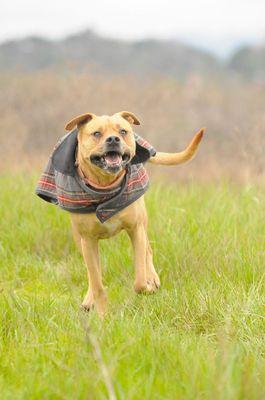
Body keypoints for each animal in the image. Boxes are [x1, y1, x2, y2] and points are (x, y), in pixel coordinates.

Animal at [36, 111, 203, 316]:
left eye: (123, 131)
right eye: (97, 133)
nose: (113, 139)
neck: (105, 188)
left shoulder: (136, 229)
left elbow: (139, 279)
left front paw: (148, 286)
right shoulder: (88, 240)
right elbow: (97, 283)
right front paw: (102, 316)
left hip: (142, 222)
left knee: (148, 250)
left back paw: (153, 278)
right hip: (79, 239)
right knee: (92, 273)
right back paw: (89, 299)